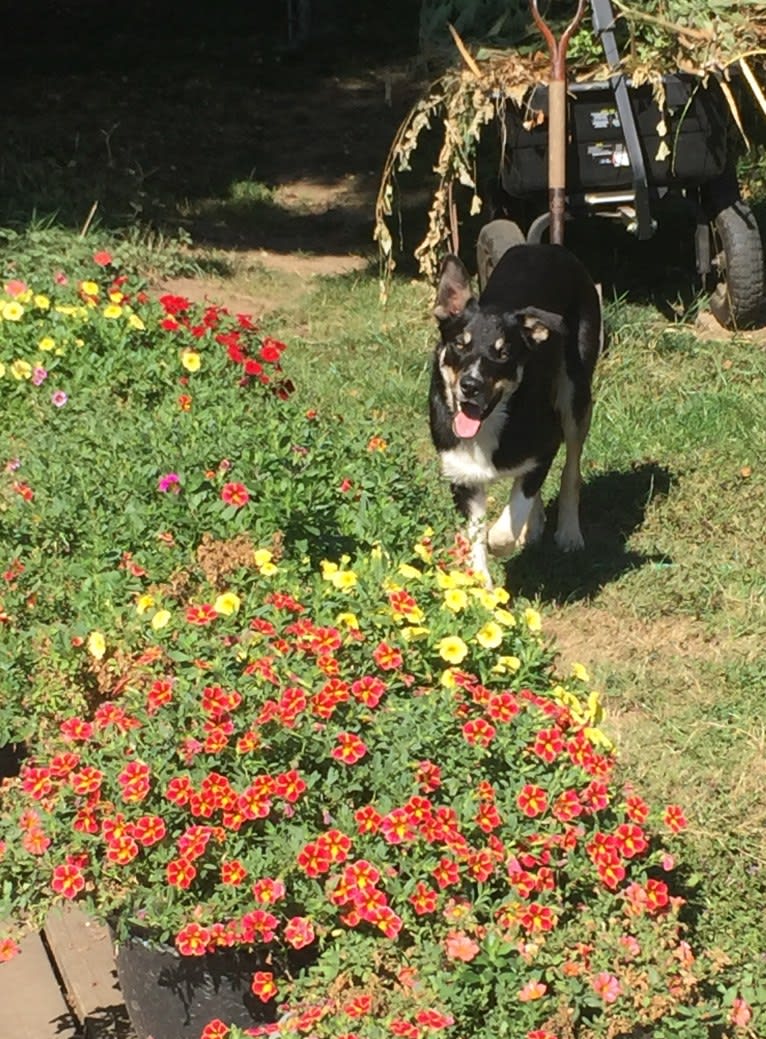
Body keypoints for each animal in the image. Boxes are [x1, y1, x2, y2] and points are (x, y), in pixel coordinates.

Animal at [428, 229, 598, 585]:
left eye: (503, 353)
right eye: (459, 344)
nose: (470, 386)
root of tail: (548, 246)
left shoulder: (547, 443)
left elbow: (515, 509)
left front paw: (502, 538)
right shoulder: (462, 472)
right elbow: (475, 532)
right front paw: (481, 583)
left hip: (576, 395)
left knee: (570, 471)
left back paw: (568, 532)